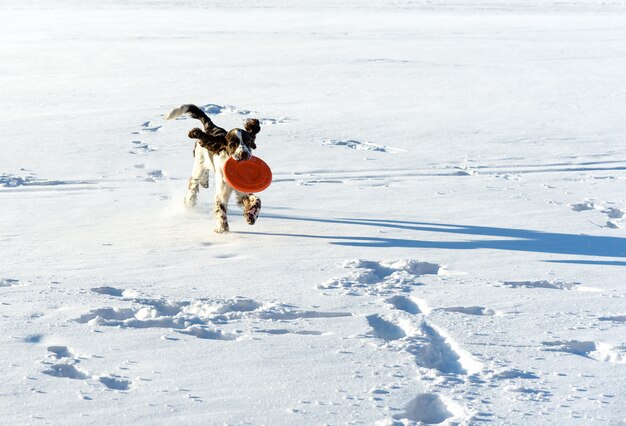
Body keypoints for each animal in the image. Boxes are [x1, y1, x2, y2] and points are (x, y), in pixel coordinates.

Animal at [165, 105, 260, 235]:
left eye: (248, 142)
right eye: (232, 144)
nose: (244, 154)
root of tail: (211, 126)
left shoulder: (242, 190)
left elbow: (255, 200)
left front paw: (251, 215)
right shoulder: (221, 193)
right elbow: (221, 210)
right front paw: (222, 229)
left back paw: (204, 182)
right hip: (198, 163)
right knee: (193, 184)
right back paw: (190, 201)